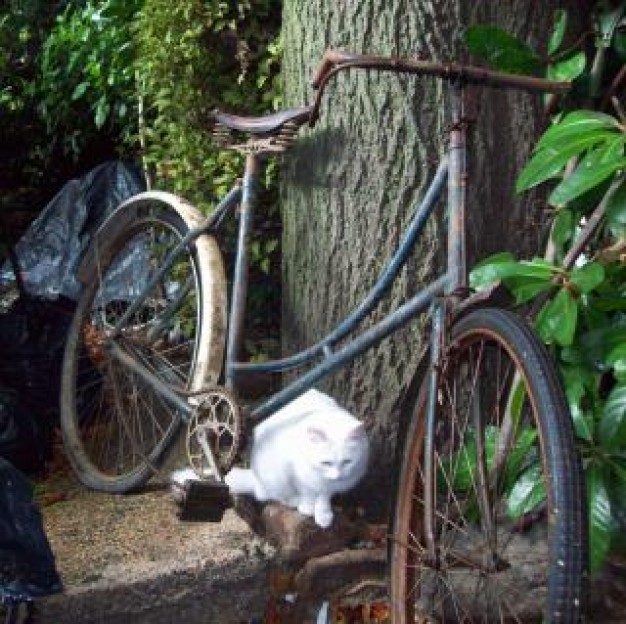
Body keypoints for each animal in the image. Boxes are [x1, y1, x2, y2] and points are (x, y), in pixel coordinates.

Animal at [223, 390, 366, 528]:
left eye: (347, 462)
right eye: (326, 463)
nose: (338, 476)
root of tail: (257, 481)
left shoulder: (327, 485)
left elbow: (324, 497)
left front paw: (324, 515)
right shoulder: (296, 474)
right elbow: (307, 493)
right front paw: (308, 508)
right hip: (276, 476)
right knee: (275, 496)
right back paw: (295, 501)